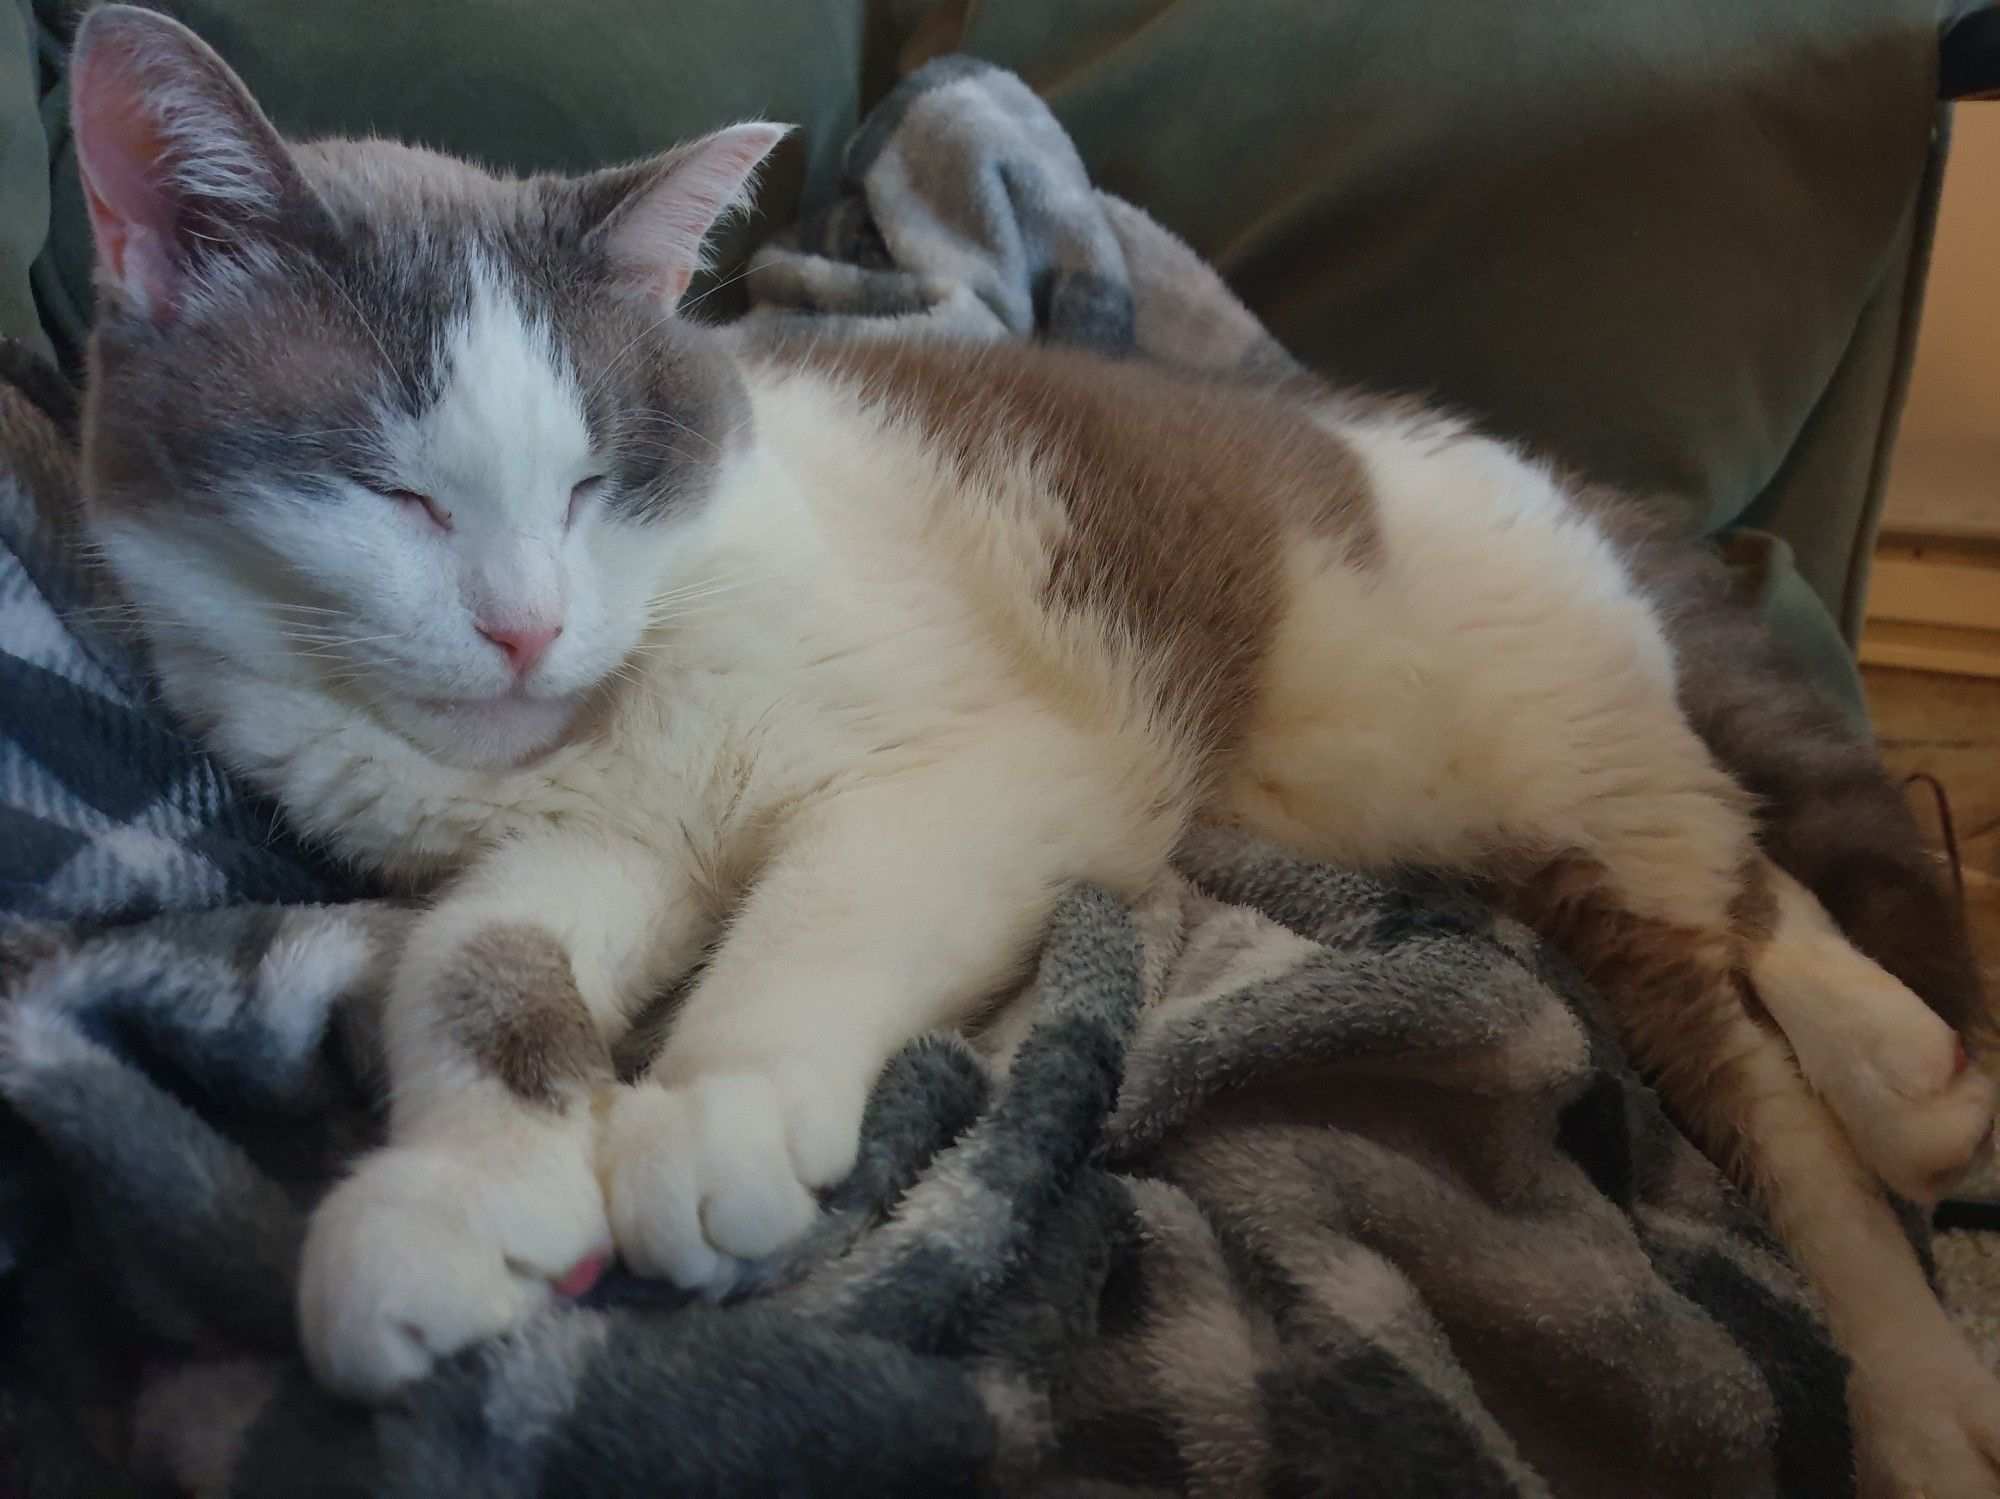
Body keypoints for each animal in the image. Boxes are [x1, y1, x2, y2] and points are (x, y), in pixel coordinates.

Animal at [70, 5, 2000, 1495]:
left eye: (597, 479)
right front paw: (452, 1197)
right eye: (384, 489)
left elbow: (816, 914)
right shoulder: (587, 844)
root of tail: (1486, 450)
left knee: (1748, 956)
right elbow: (468, 964)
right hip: (1444, 807)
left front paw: (708, 1111)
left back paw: (1913, 1263)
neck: (597, 720)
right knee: (1710, 913)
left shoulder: (989, 769)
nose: (527, 624)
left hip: (1537, 732)